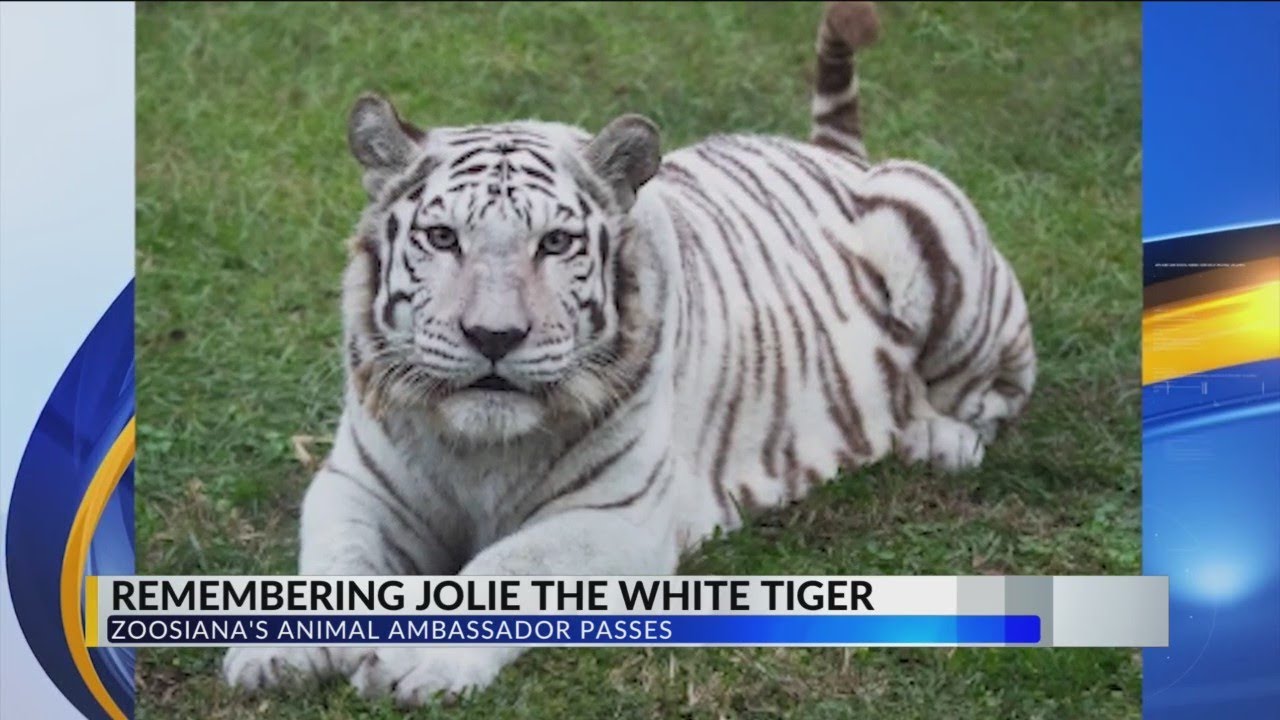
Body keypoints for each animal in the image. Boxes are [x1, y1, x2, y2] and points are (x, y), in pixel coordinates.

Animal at [223, 0, 1035, 706]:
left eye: (555, 243)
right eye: (443, 237)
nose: (494, 337)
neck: (479, 449)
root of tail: (832, 155)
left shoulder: (614, 517)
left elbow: (504, 568)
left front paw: (413, 660)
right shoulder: (359, 487)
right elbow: (333, 568)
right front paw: (275, 652)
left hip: (935, 229)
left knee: (994, 395)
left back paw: (937, 440)